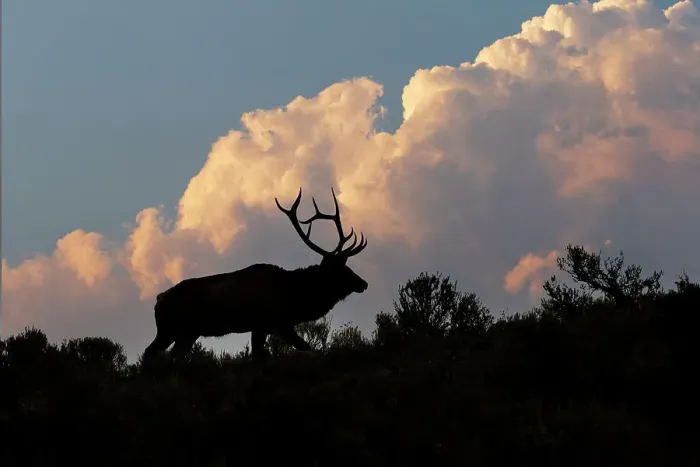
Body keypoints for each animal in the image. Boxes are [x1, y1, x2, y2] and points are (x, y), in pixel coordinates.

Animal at [142, 187, 368, 363]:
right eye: (341, 269)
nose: (363, 283)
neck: (293, 296)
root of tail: (158, 299)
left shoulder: (270, 326)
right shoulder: (270, 323)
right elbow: (291, 352)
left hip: (188, 332)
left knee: (174, 356)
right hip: (168, 328)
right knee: (149, 351)